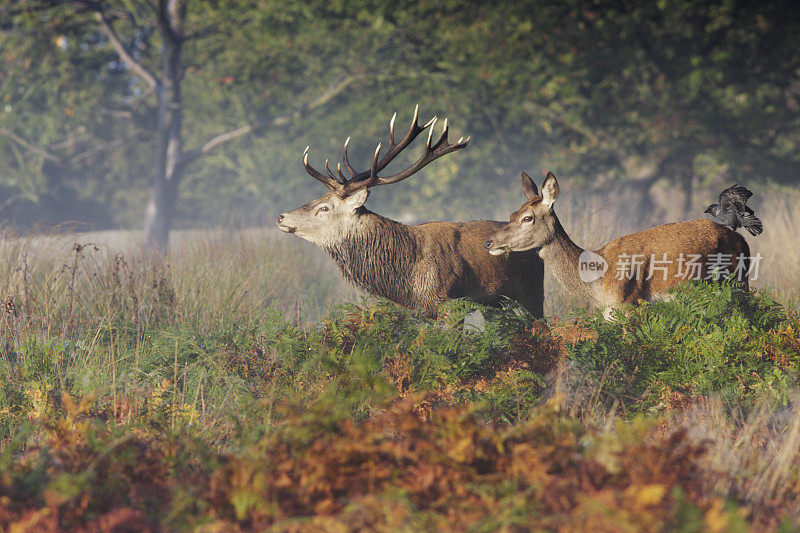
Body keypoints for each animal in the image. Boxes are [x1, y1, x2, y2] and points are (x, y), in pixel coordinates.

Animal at [276, 107, 544, 316]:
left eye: (324, 208)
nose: (281, 216)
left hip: (533, 291)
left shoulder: (449, 303)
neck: (406, 280)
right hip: (496, 305)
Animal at [484, 172, 752, 318]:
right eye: (511, 214)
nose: (489, 242)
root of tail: (743, 241)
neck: (597, 284)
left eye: (527, 218)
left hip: (736, 284)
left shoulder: (627, 305)